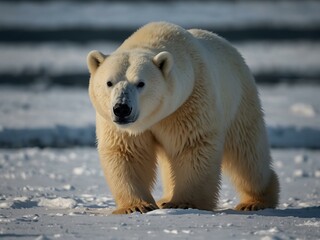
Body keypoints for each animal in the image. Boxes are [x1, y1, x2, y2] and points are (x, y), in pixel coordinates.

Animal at [86, 22, 278, 214]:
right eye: (109, 82)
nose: (122, 109)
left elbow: (191, 146)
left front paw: (183, 203)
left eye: (141, 83)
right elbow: (127, 152)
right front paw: (136, 206)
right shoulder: (119, 126)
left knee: (247, 154)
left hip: (239, 100)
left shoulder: (188, 103)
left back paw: (255, 202)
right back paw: (165, 199)